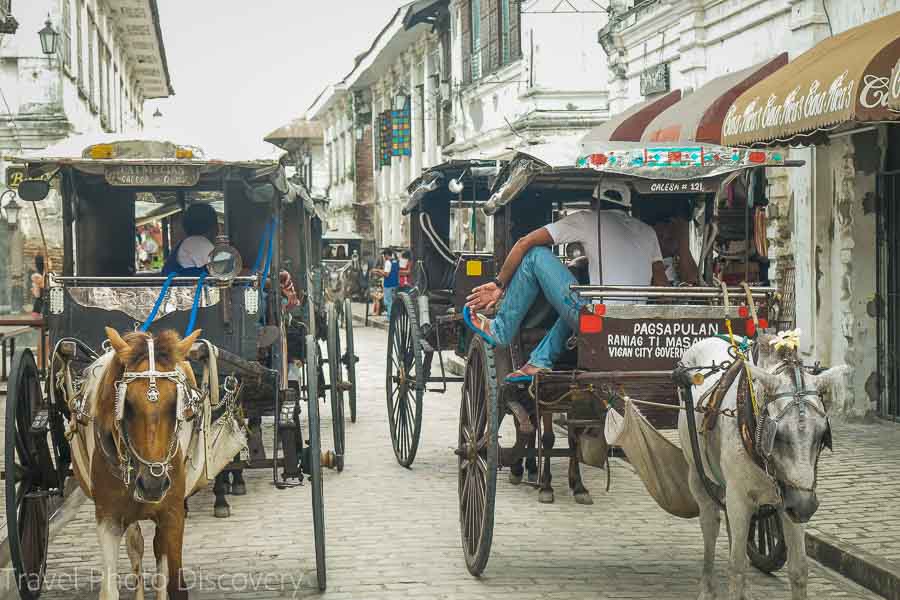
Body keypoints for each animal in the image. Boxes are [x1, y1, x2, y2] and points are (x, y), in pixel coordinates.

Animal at [78, 328, 201, 600]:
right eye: (128, 404)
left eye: (176, 403)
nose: (153, 484)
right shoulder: (108, 519)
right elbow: (110, 588)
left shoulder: (172, 514)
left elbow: (170, 580)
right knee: (136, 545)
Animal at [680, 332, 848, 600]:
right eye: (777, 435)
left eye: (823, 436)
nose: (805, 506)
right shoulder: (740, 498)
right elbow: (737, 566)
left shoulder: (789, 501)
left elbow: (799, 569)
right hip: (697, 474)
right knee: (710, 525)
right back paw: (707, 587)